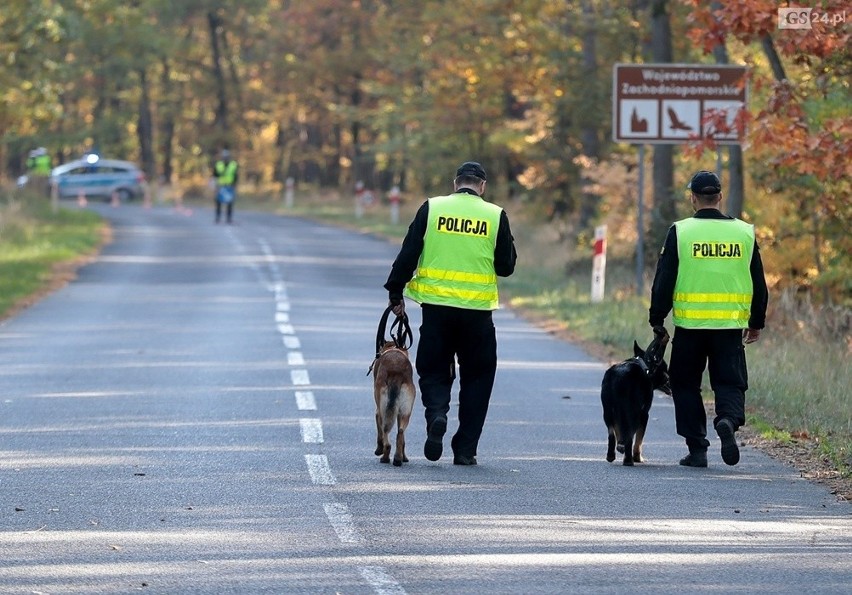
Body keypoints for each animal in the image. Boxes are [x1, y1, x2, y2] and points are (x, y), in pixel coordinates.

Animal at [368, 310, 418, 468]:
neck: (393, 348)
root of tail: (397, 372)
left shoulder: (377, 412)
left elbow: (379, 434)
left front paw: (378, 450)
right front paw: (405, 457)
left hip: (384, 410)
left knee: (386, 436)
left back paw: (385, 457)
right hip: (405, 412)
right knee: (400, 433)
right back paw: (398, 458)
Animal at [600, 330, 672, 466]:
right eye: (665, 368)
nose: (671, 379)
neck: (645, 365)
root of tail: (620, 378)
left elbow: (619, 431)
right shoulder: (644, 415)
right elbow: (639, 440)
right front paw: (637, 457)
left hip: (607, 411)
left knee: (611, 434)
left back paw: (611, 455)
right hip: (634, 413)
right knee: (629, 436)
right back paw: (628, 460)